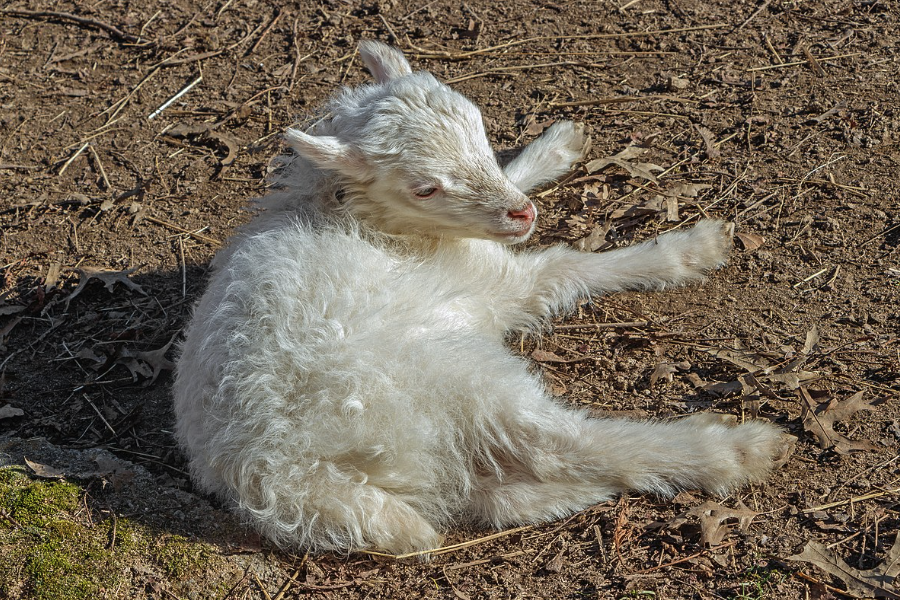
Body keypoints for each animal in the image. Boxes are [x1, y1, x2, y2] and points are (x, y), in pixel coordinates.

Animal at [174, 41, 788, 552]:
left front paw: (558, 144)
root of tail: (285, 477)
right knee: (554, 442)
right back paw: (735, 449)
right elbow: (567, 264)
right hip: (447, 377)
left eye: (480, 132)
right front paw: (694, 248)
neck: (360, 216)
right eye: (425, 188)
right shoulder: (496, 281)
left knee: (499, 494)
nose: (522, 215)